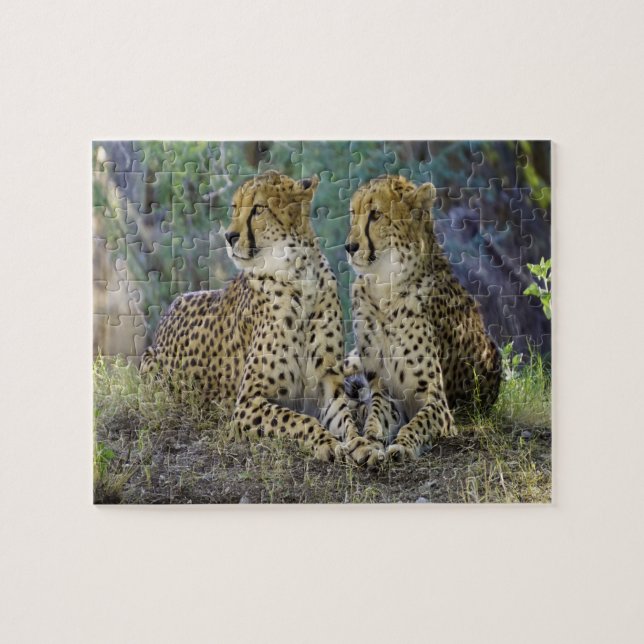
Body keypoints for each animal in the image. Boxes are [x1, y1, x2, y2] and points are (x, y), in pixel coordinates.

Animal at [141, 171, 378, 464]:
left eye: (258, 208)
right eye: (234, 207)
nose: (229, 236)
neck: (299, 277)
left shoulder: (327, 384)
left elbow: (345, 420)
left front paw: (362, 444)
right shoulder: (247, 403)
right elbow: (298, 420)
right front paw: (326, 442)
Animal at [344, 175, 501, 462]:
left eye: (375, 214)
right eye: (353, 212)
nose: (350, 247)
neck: (385, 289)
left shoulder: (436, 401)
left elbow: (417, 423)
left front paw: (402, 445)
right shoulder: (384, 391)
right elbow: (374, 417)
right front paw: (369, 441)